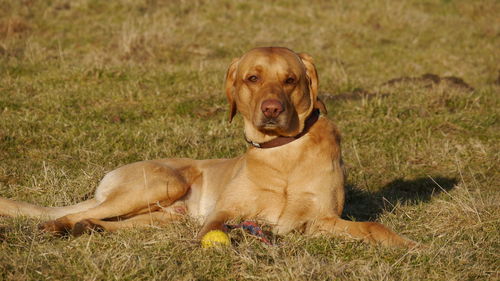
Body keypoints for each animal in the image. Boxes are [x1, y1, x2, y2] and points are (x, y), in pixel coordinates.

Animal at [0, 47, 414, 246]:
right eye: (252, 78)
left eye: (291, 79)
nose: (272, 108)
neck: (283, 155)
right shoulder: (224, 210)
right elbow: (215, 228)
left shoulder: (319, 221)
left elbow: (374, 226)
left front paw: (407, 244)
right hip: (163, 182)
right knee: (75, 213)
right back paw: (58, 227)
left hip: (165, 214)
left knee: (104, 220)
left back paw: (90, 229)